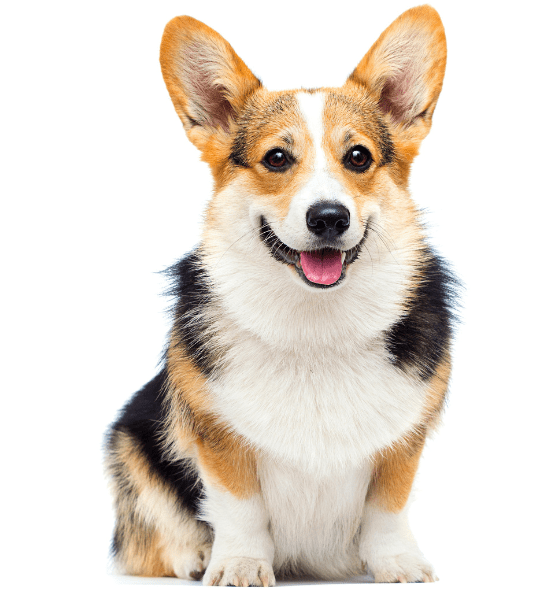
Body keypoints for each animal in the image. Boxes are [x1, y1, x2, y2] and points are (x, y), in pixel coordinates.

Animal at [105, 5, 456, 588]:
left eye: (358, 157)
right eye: (275, 159)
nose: (329, 217)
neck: (316, 326)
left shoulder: (404, 440)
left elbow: (388, 504)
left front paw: (397, 564)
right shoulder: (218, 437)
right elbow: (240, 507)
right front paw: (240, 565)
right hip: (131, 440)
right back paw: (194, 555)